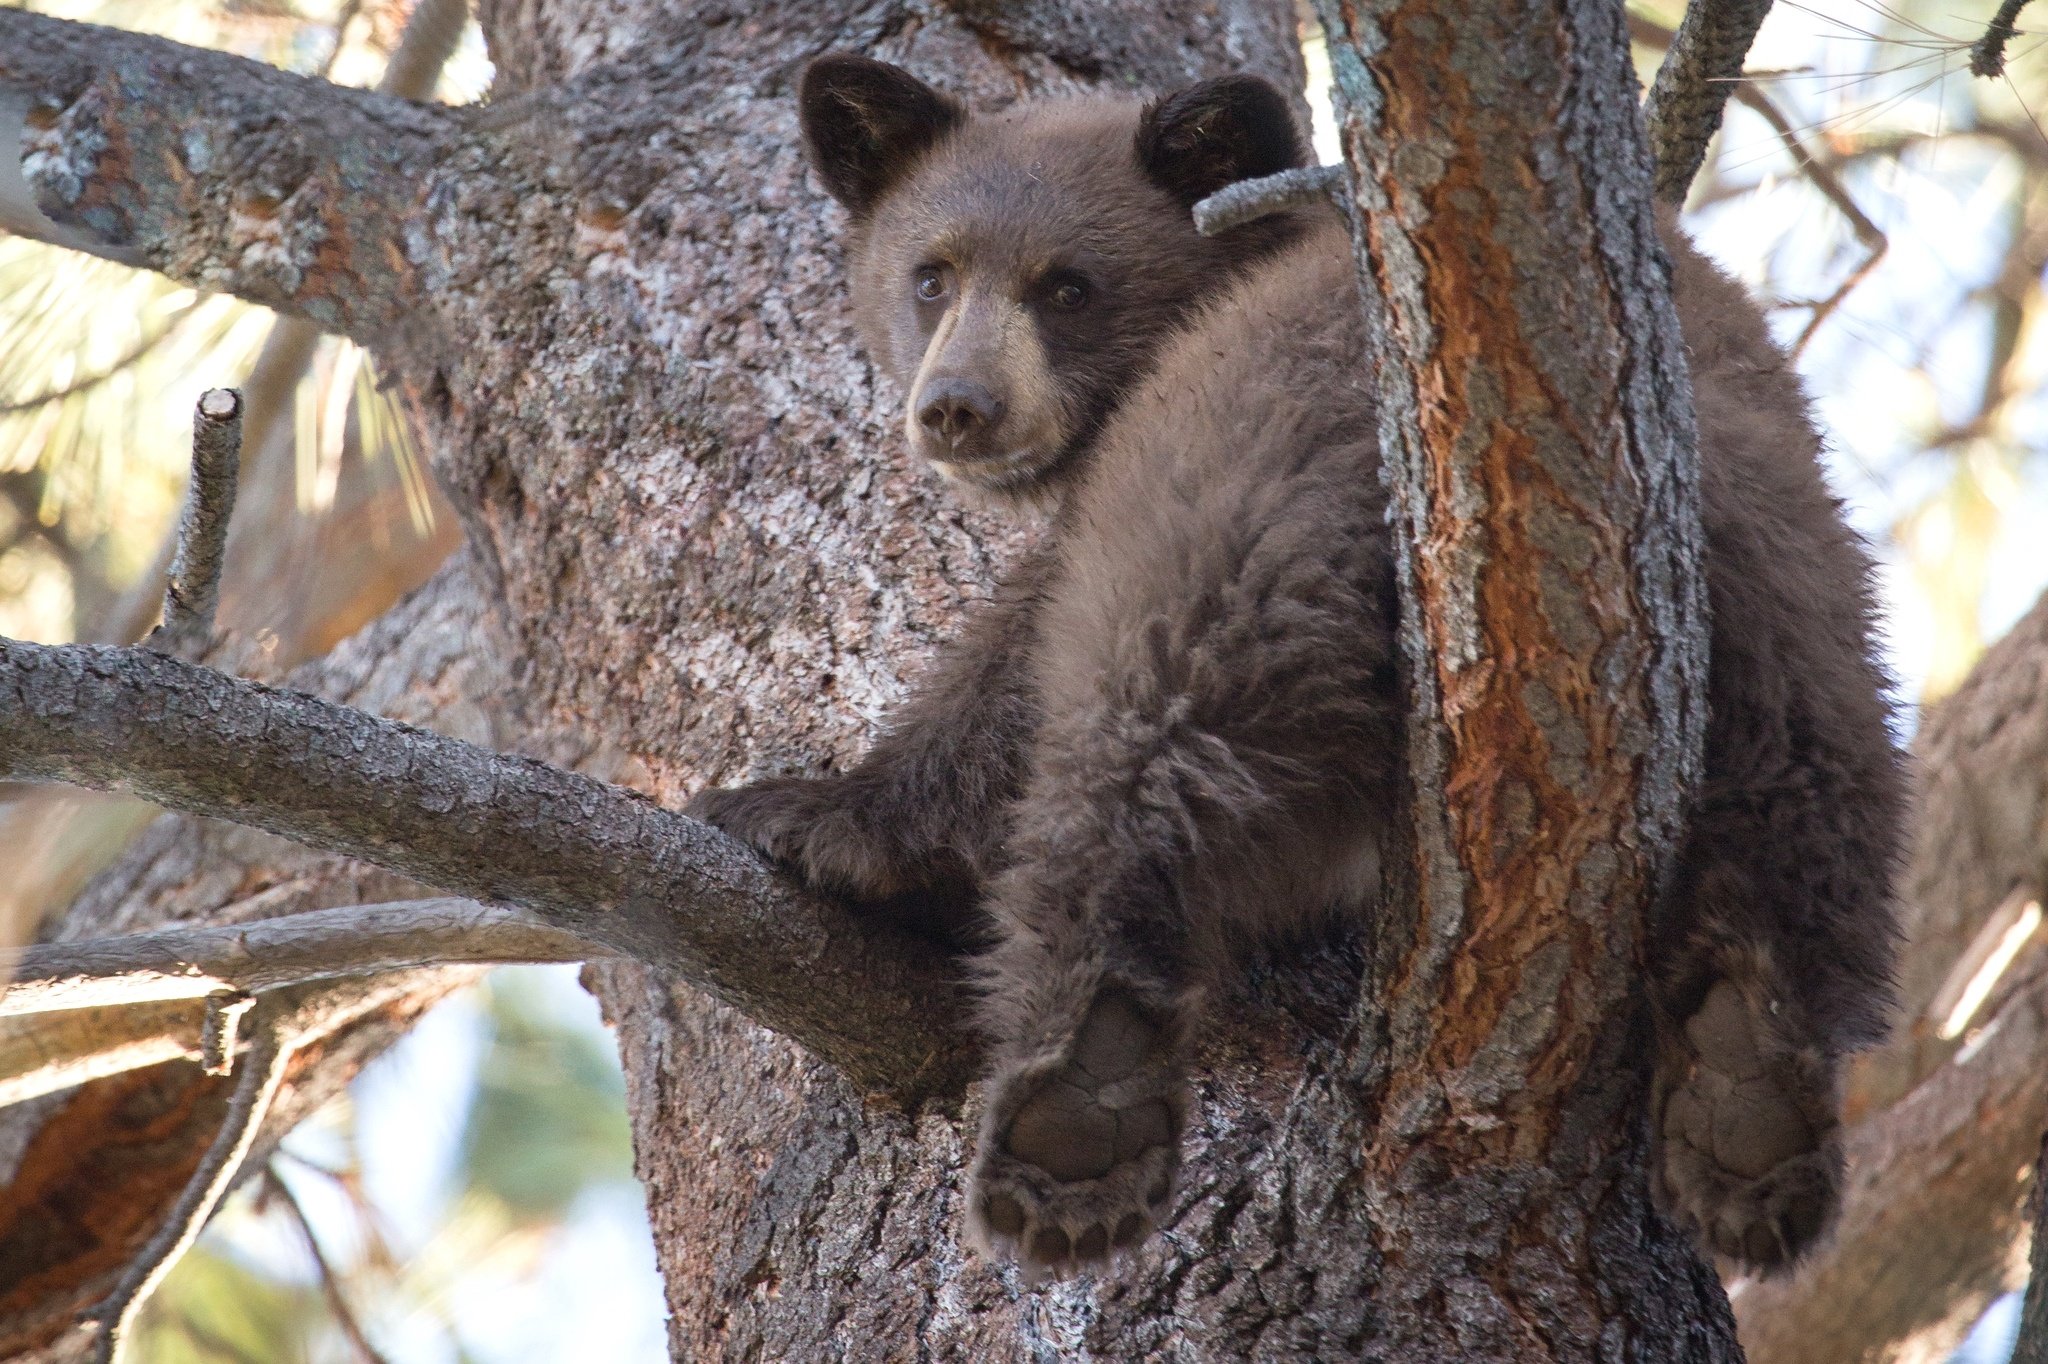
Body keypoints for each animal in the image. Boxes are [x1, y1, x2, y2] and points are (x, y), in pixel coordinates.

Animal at [689, 54, 1906, 1279]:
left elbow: (1019, 648)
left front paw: (814, 812)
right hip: (1794, 573)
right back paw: (1748, 1090)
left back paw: (1076, 1102)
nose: (955, 409)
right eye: (931, 275)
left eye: (1068, 287)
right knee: (1812, 786)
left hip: (1245, 488)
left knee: (1140, 732)